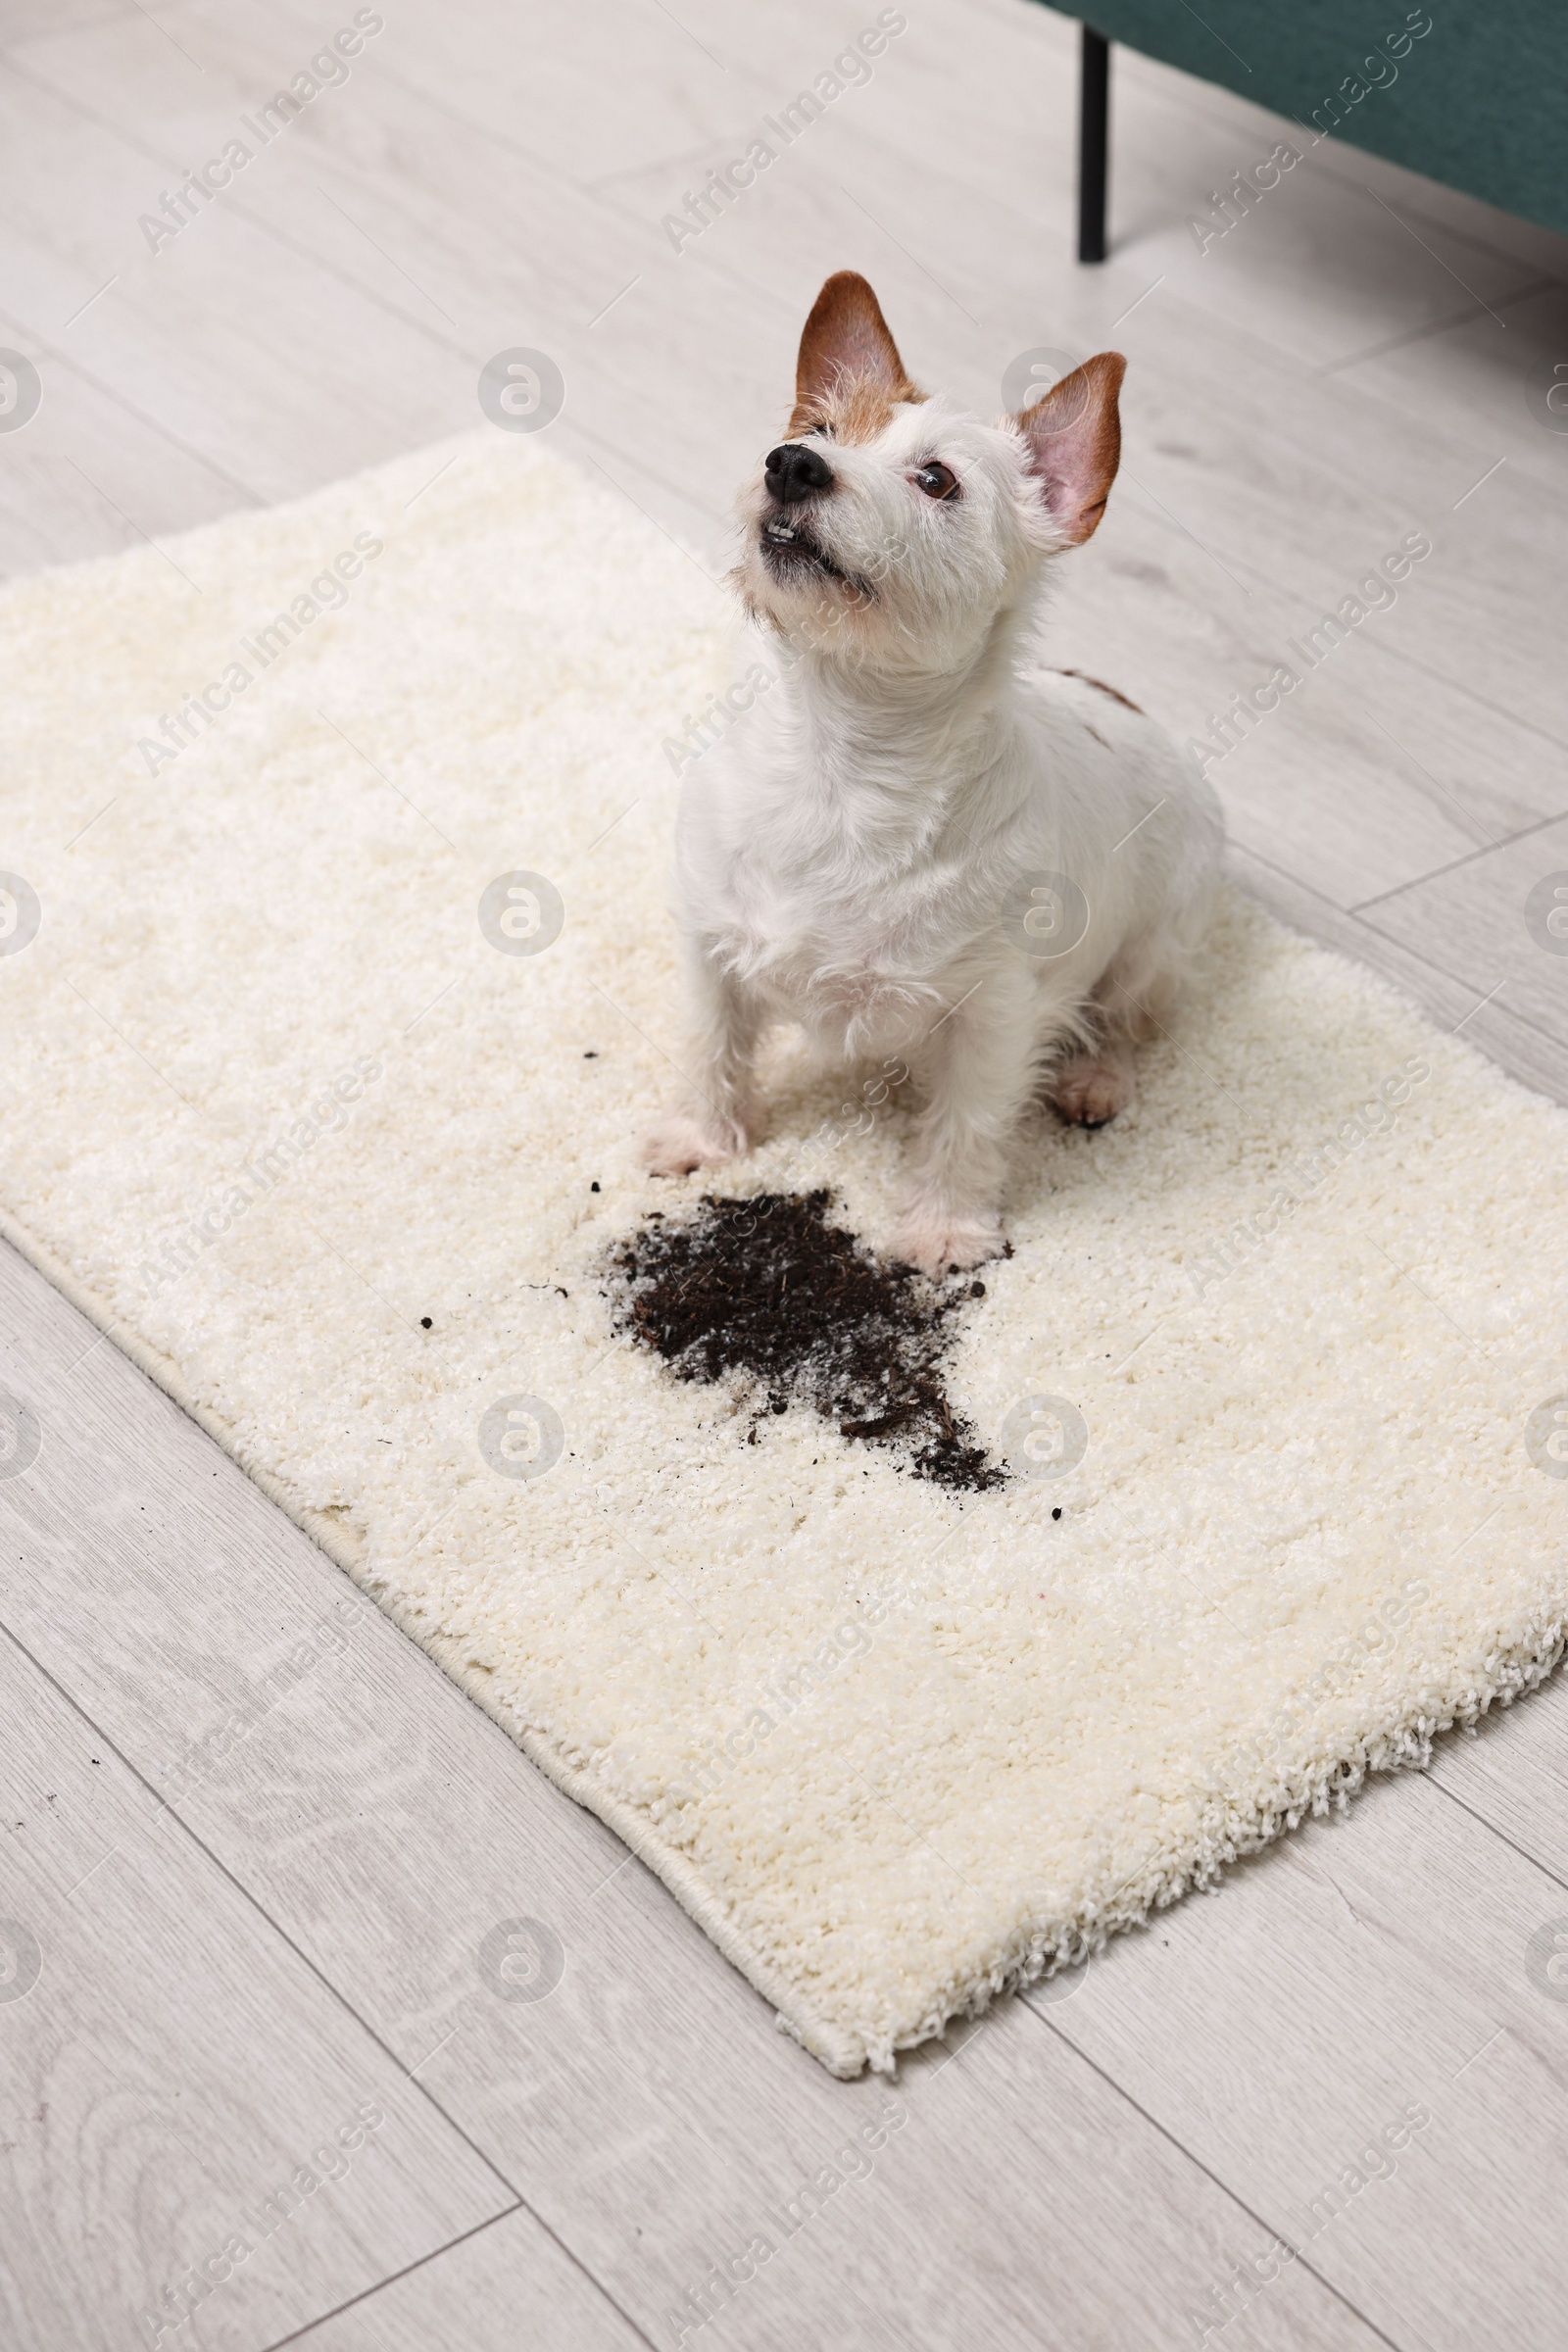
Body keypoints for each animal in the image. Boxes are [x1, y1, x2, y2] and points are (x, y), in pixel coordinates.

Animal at [644, 270, 1222, 1289]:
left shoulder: (991, 1015)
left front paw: (944, 1229)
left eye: (937, 479)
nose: (792, 464)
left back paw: (1094, 1076)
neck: (840, 765)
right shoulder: (710, 946)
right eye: (822, 427)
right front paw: (702, 1139)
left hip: (1156, 945)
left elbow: (967, 1124)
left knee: (1125, 1018)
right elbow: (711, 1048)